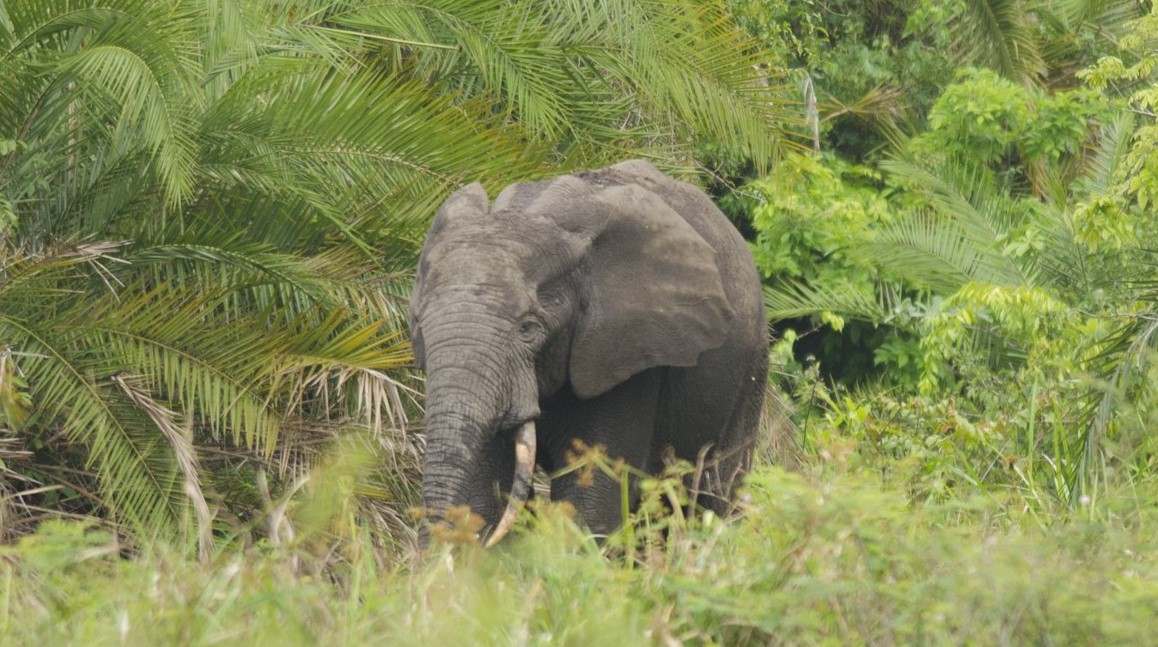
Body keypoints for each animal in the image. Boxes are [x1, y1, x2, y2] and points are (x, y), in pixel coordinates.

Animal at [409, 159, 768, 545]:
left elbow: (593, 501)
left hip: (750, 367)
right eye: (417, 324)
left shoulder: (627, 351)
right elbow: (479, 498)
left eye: (529, 329)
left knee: (712, 495)